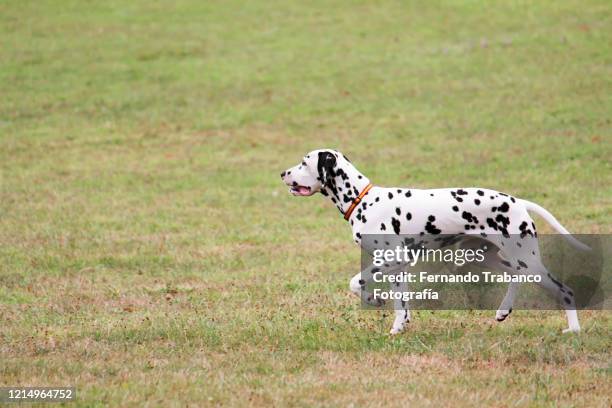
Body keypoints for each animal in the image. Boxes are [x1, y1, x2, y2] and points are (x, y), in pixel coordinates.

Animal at [280, 149, 588, 334]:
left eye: (304, 162)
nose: (282, 173)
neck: (363, 200)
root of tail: (518, 201)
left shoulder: (390, 260)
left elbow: (355, 283)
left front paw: (374, 300)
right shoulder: (399, 267)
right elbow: (402, 304)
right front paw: (398, 328)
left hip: (526, 260)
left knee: (565, 290)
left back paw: (573, 330)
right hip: (489, 259)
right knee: (516, 277)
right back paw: (503, 311)